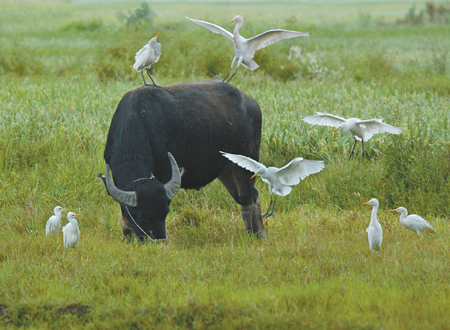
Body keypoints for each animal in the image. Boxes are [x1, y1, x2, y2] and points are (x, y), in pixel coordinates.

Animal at [98, 79, 266, 241]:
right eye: (140, 216)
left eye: (165, 212)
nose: (159, 240)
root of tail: (251, 104)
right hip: (226, 170)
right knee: (250, 196)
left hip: (246, 163)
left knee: (248, 199)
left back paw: (255, 235)